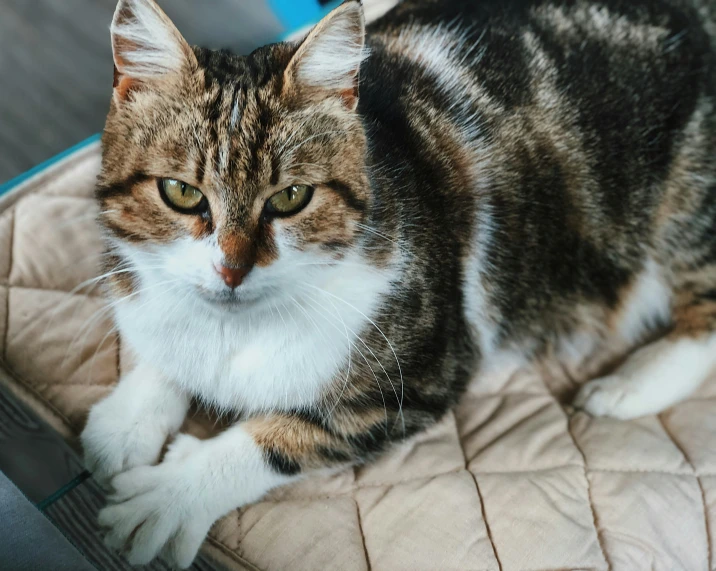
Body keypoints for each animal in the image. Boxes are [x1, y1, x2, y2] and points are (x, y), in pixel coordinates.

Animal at [79, 0, 716, 564]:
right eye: (181, 192)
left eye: (291, 197)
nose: (232, 270)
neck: (234, 329)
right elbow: (163, 342)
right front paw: (127, 421)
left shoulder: (426, 373)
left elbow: (286, 436)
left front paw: (169, 497)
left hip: (689, 202)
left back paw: (628, 386)